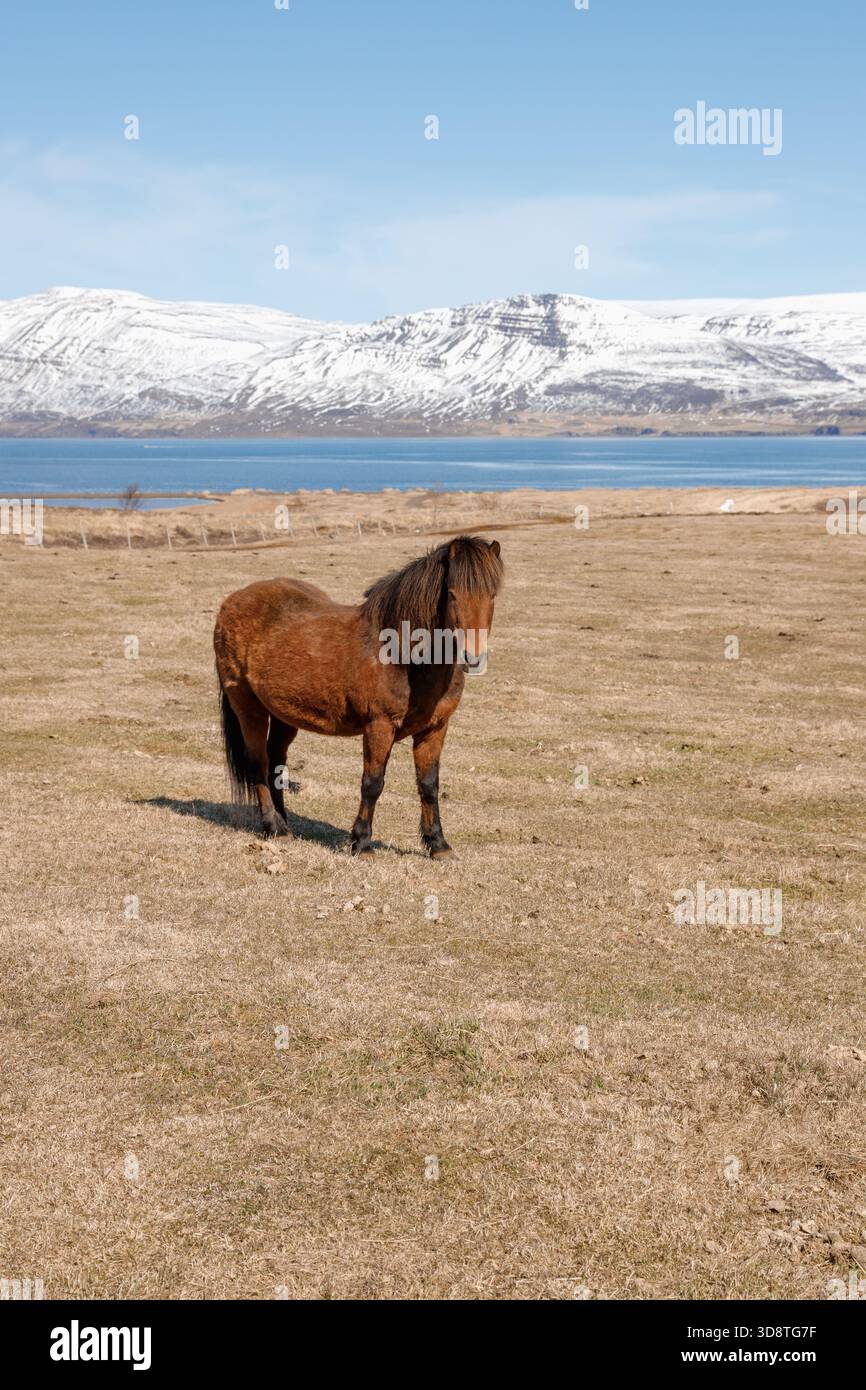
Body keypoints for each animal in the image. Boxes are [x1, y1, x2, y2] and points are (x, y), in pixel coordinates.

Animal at [213, 534, 503, 856]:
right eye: (452, 594)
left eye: (492, 595)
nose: (473, 657)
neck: (403, 654)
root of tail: (232, 601)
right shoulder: (379, 726)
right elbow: (372, 782)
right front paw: (361, 842)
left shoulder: (435, 729)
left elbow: (429, 785)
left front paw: (438, 844)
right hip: (247, 706)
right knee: (259, 763)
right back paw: (273, 827)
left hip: (283, 714)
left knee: (276, 760)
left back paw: (285, 824)